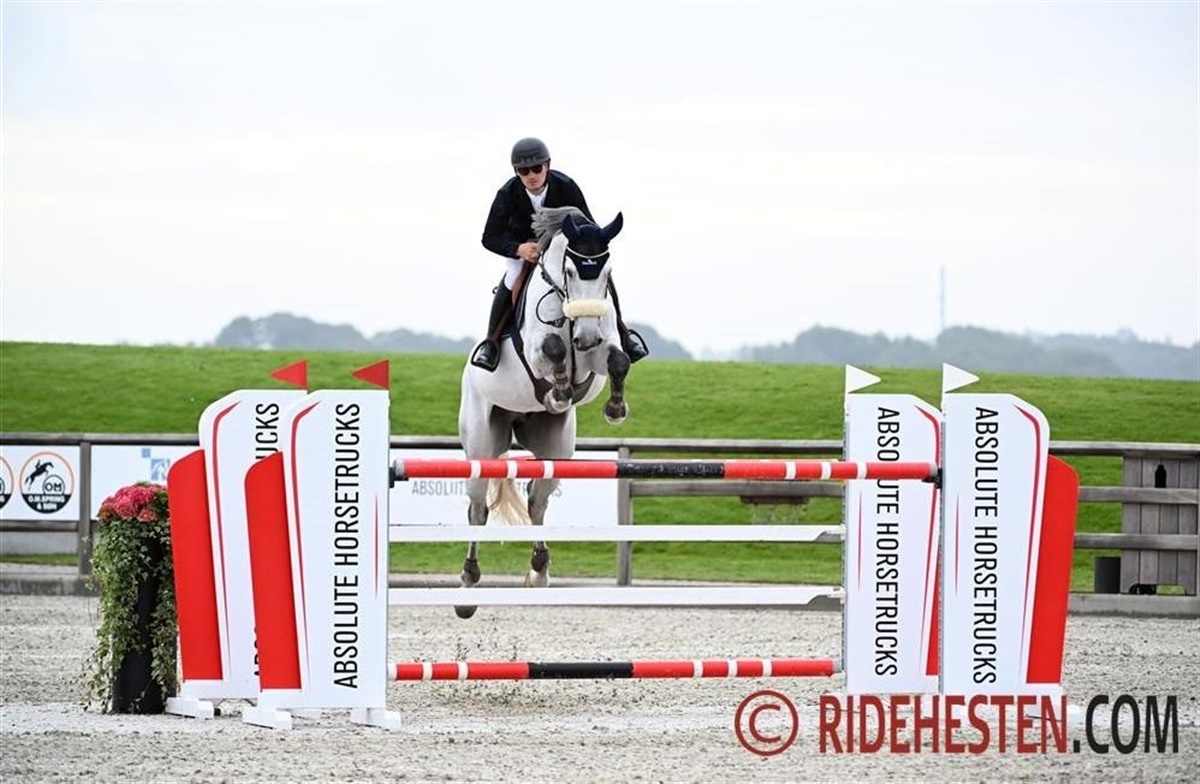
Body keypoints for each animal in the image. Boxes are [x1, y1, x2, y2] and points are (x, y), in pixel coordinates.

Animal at [454, 206, 631, 618]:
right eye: (570, 271)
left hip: (556, 447)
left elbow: (618, 358)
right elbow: (552, 347)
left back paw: (539, 570)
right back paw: (468, 583)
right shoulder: (538, 350)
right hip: (481, 444)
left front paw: (615, 408)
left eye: (607, 273)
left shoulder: (599, 352)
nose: (585, 336)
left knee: (537, 500)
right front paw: (561, 389)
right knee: (477, 510)